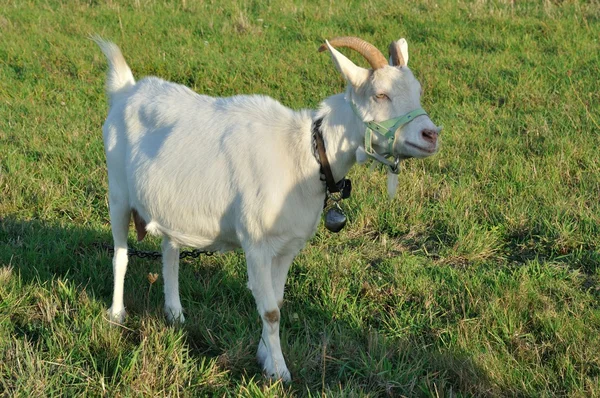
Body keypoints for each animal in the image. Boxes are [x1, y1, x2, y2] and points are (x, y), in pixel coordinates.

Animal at [94, 35, 440, 380]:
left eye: (417, 91)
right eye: (380, 94)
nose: (432, 134)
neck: (306, 153)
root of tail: (126, 90)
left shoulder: (288, 246)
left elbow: (277, 301)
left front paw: (265, 358)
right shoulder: (257, 244)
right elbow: (271, 311)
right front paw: (280, 372)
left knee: (170, 252)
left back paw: (175, 313)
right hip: (118, 192)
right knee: (121, 255)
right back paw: (117, 314)